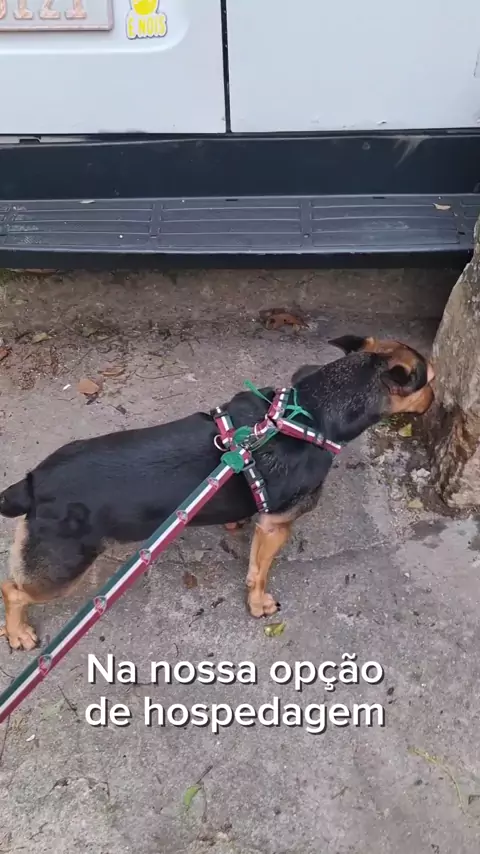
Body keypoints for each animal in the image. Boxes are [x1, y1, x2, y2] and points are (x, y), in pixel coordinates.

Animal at [0, 335, 434, 651]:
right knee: (13, 590)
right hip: (62, 569)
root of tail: (34, 481)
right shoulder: (276, 526)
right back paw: (18, 632)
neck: (311, 409)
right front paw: (259, 604)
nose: (436, 400)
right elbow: (258, 572)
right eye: (428, 380)